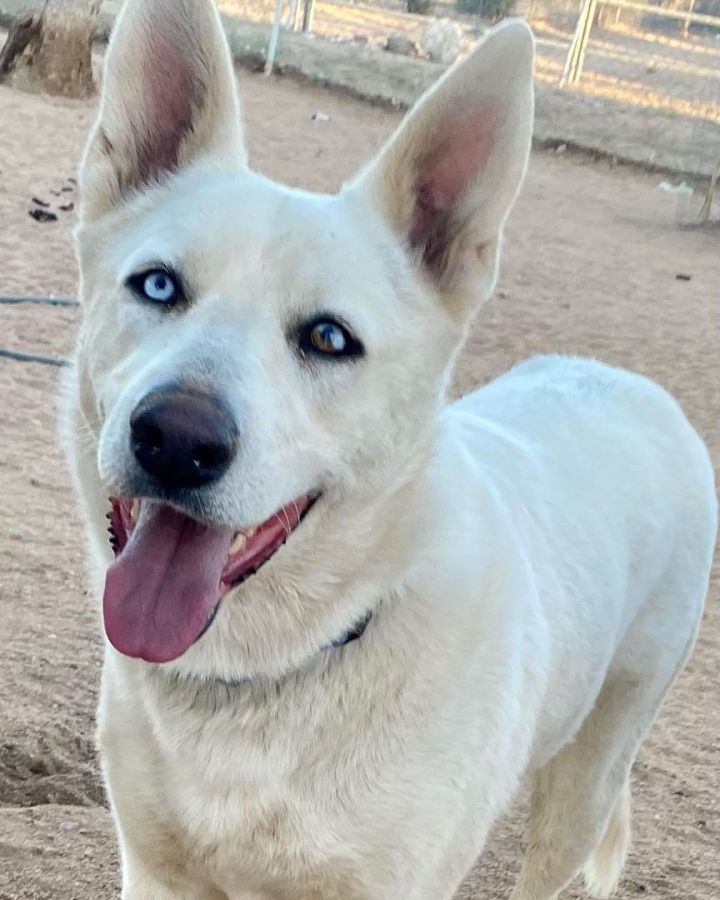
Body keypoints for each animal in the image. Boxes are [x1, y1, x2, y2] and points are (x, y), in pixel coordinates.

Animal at [64, 1, 716, 900]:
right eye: (158, 285)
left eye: (329, 338)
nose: (176, 440)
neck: (281, 666)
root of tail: (633, 385)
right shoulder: (156, 870)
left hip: (590, 773)